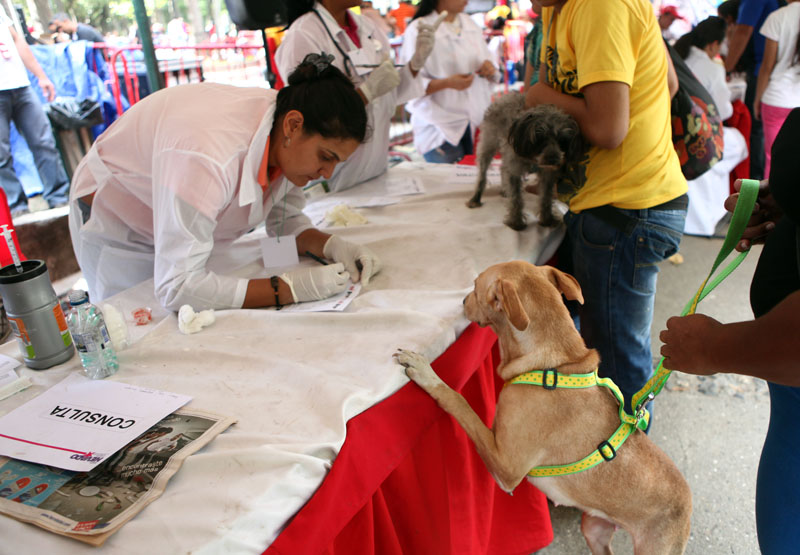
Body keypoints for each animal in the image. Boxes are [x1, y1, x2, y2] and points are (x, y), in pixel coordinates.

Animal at [396, 262, 692, 555]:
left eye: (476, 286)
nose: (462, 302)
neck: (554, 366)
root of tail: (688, 505)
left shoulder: (506, 469)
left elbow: (460, 402)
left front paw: (426, 372)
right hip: (594, 528)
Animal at [468, 93, 588, 230]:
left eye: (562, 140)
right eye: (541, 139)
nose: (553, 160)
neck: (533, 159)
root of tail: (505, 96)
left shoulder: (547, 175)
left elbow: (546, 197)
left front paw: (547, 219)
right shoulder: (514, 168)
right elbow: (516, 198)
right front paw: (516, 221)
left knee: (503, 168)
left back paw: (504, 189)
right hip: (488, 144)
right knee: (483, 174)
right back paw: (476, 198)